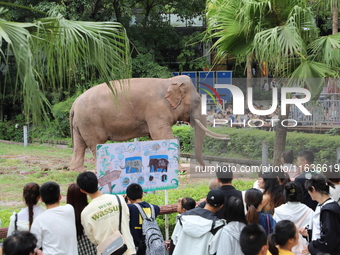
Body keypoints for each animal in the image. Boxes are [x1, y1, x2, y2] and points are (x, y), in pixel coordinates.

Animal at [69, 75, 228, 171]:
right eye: (196, 101)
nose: (204, 168)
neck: (169, 81)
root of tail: (74, 103)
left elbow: (154, 138)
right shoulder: (156, 109)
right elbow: (161, 135)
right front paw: (179, 169)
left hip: (80, 124)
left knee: (79, 145)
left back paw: (77, 169)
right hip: (90, 121)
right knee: (96, 144)